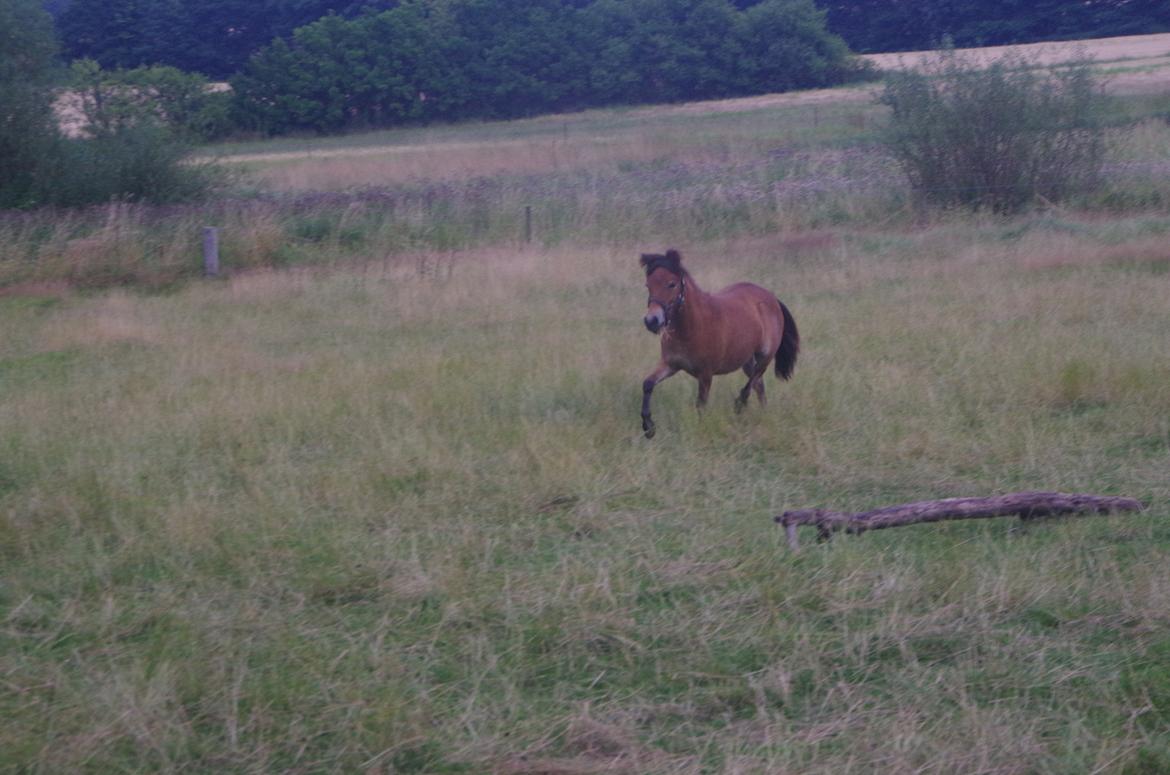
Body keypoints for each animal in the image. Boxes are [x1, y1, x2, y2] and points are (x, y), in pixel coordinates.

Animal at [641, 251, 795, 440]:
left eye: (672, 284)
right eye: (648, 285)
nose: (651, 321)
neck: (692, 326)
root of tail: (772, 298)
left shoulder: (706, 374)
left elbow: (700, 405)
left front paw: (700, 431)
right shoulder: (671, 365)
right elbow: (648, 384)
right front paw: (648, 427)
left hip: (765, 355)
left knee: (755, 379)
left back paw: (740, 404)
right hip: (746, 360)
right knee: (758, 384)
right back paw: (763, 412)